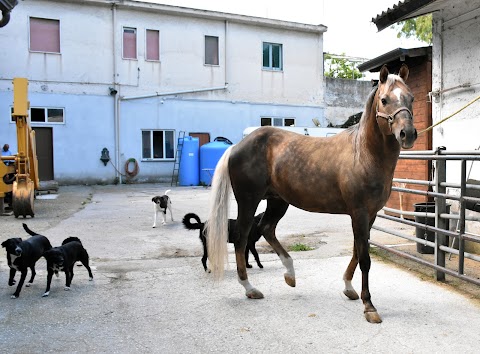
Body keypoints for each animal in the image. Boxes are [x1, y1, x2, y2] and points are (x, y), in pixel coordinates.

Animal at [206, 64, 416, 324]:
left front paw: (348, 288)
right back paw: (250, 288)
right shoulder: (358, 213)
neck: (363, 153)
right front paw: (369, 306)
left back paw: (290, 274)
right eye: (385, 100)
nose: (408, 134)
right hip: (249, 201)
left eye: (411, 98)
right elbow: (365, 258)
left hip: (278, 201)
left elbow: (357, 251)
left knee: (267, 228)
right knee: (241, 237)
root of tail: (236, 147)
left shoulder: (370, 215)